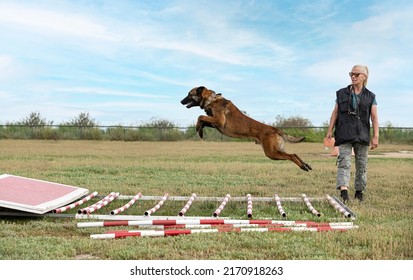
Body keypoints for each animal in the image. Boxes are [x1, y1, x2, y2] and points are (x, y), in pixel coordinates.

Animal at [179, 86, 310, 171]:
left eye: (189, 94)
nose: (180, 101)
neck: (212, 99)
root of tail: (275, 129)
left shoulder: (219, 121)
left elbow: (200, 117)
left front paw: (198, 129)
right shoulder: (216, 123)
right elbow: (203, 120)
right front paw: (200, 130)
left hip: (271, 153)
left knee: (291, 156)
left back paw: (303, 166)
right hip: (276, 151)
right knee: (294, 154)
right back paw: (306, 165)